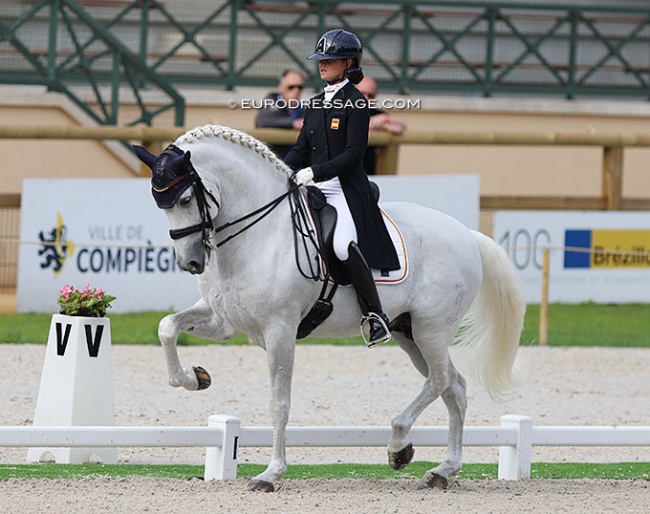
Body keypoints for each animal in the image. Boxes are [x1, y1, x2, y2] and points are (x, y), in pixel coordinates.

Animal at [134, 124, 524, 492]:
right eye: (159, 204)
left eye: (186, 198)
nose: (191, 263)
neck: (260, 233)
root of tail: (467, 234)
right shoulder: (223, 322)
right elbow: (167, 328)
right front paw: (194, 377)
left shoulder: (280, 331)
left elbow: (279, 404)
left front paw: (270, 474)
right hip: (408, 332)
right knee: (453, 387)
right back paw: (442, 470)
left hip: (432, 329)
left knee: (441, 379)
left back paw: (399, 446)